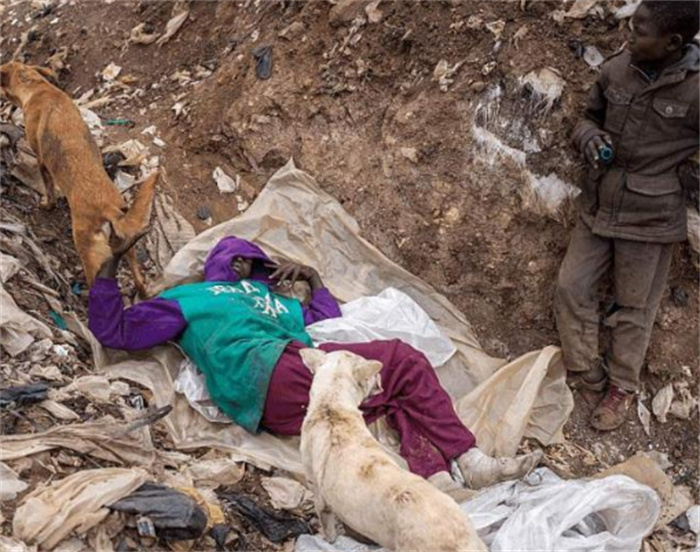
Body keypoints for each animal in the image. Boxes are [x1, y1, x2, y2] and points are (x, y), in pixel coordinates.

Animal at [0, 62, 156, 296]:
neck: (37, 87)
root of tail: (109, 208)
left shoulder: (41, 161)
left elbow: (48, 189)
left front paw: (47, 205)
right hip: (127, 247)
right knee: (138, 277)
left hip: (87, 251)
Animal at [300, 350, 486, 552]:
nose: (381, 378)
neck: (330, 405)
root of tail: (458, 539)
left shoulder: (316, 489)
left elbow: (326, 521)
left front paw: (329, 541)